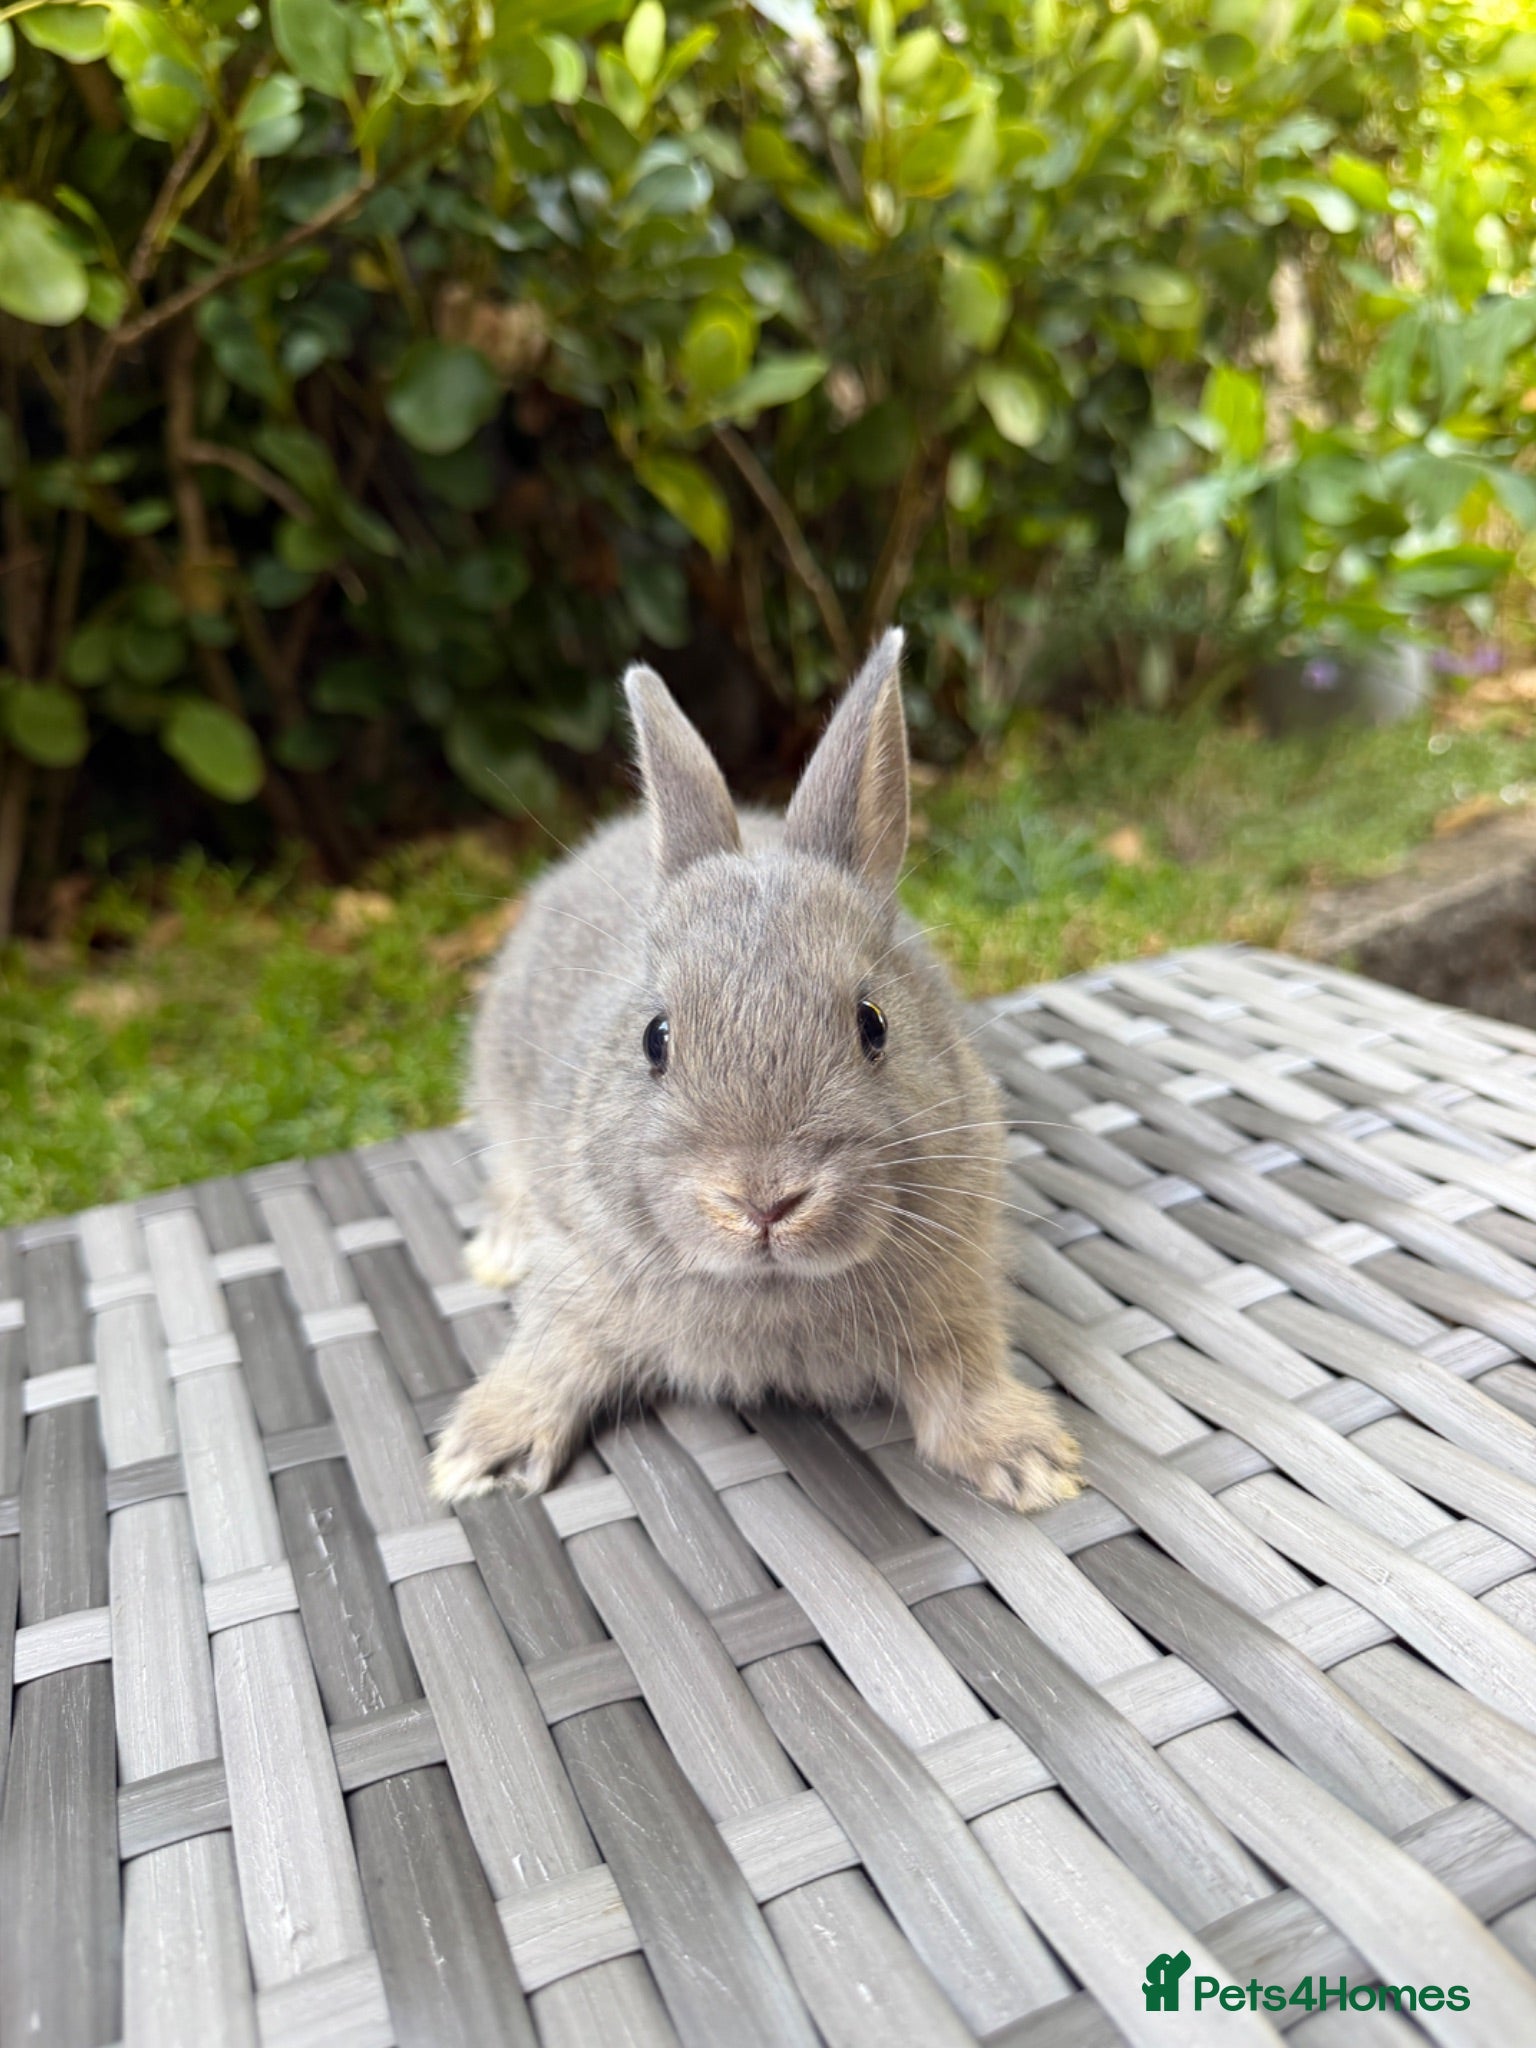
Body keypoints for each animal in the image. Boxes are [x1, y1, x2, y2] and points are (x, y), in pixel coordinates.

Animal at [429, 629, 1080, 1513]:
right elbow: (550, 1353)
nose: (763, 1201)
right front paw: (478, 1456)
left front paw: (1030, 1460)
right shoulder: (580, 1274)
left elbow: (964, 1374)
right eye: (655, 1037)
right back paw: (498, 1251)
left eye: (873, 1024)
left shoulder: (957, 1285)